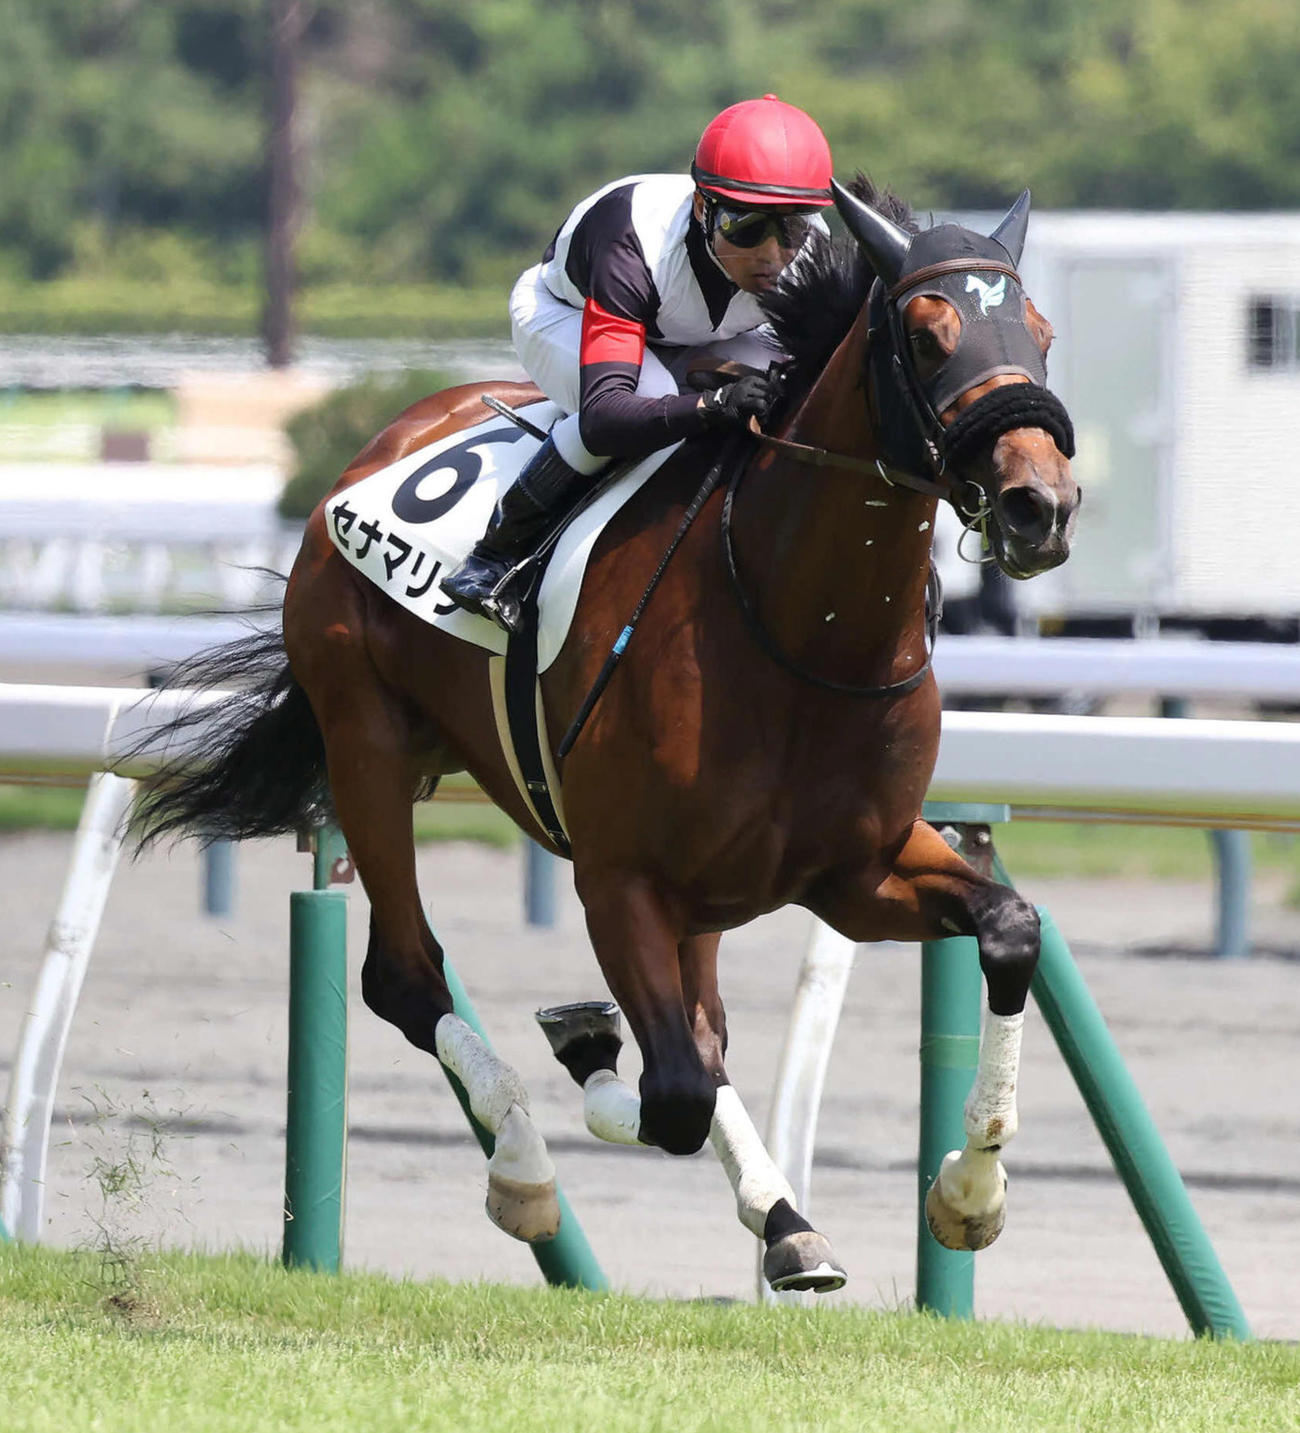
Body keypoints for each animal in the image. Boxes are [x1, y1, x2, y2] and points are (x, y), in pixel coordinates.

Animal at [134, 177, 1079, 1294]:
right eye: (929, 336)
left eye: (1042, 334)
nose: (1039, 503)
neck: (793, 621)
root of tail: (381, 442)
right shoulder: (618, 878)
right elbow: (672, 1092)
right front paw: (583, 1051)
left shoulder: (855, 869)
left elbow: (1009, 928)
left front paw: (970, 1192)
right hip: (367, 741)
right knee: (407, 975)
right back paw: (526, 1164)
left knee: (702, 1029)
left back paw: (784, 1219)